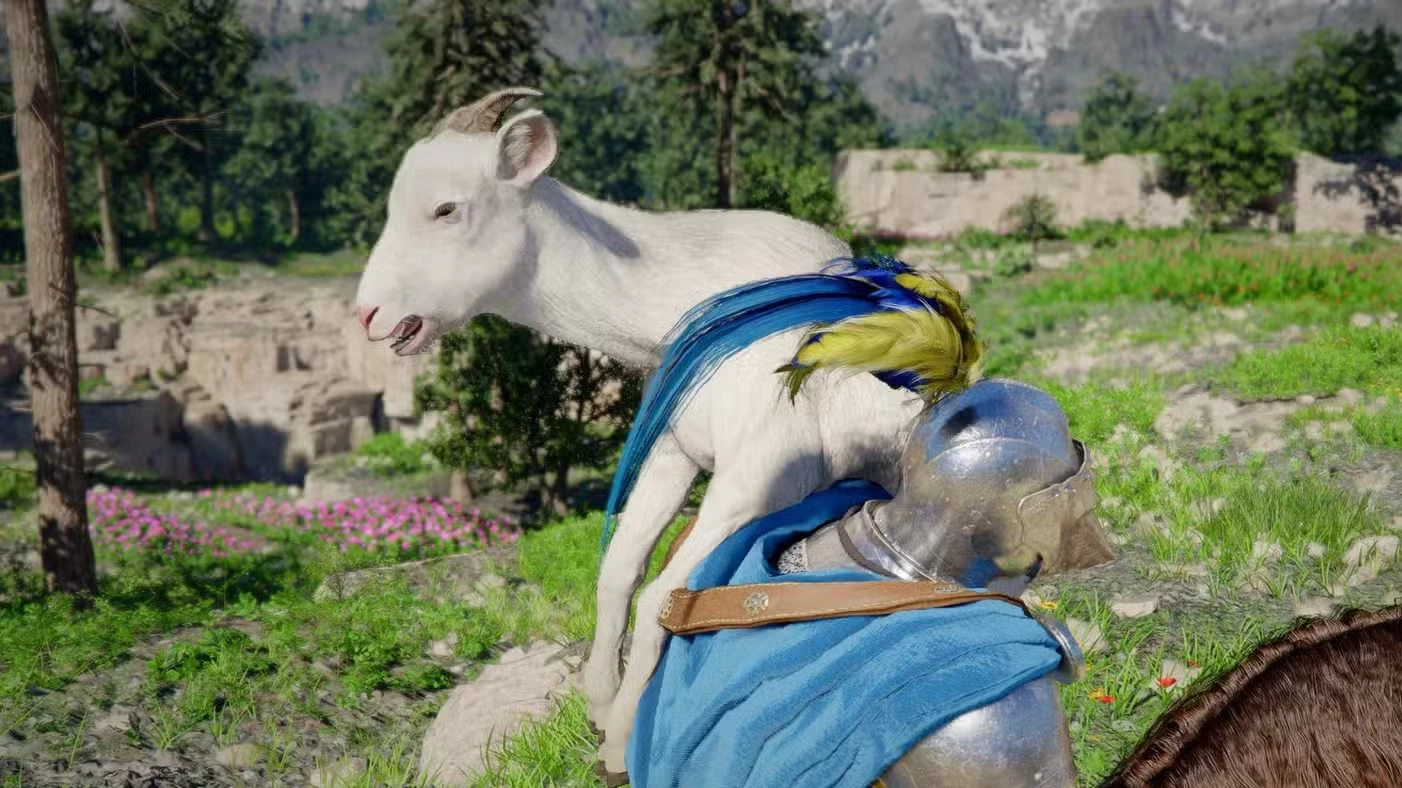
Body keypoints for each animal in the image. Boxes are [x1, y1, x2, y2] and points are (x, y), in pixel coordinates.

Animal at [353, 87, 926, 771]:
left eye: (446, 208)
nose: (369, 314)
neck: (689, 298)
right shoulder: (675, 453)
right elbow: (620, 570)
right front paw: (600, 702)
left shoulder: (758, 479)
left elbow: (666, 599)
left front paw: (623, 739)